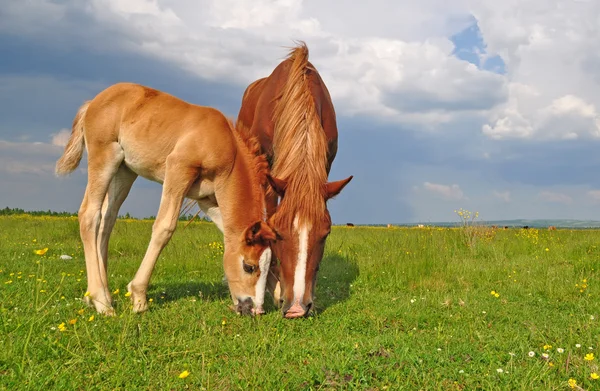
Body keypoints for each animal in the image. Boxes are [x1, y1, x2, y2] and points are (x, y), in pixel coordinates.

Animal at [55, 82, 278, 316]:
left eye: (269, 267)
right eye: (249, 266)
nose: (256, 309)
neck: (225, 145)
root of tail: (94, 101)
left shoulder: (206, 200)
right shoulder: (178, 170)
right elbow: (165, 228)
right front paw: (139, 298)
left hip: (125, 171)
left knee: (107, 220)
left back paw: (101, 295)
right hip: (104, 156)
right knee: (90, 214)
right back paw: (101, 302)